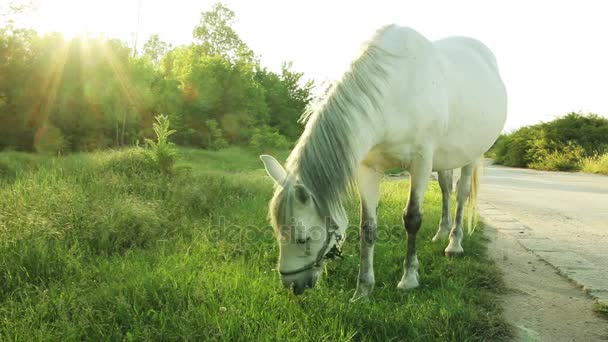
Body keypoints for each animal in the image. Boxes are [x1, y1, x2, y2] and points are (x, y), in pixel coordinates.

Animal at [258, 24, 506, 300]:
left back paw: (454, 243)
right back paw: (442, 233)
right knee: (445, 189)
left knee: (461, 194)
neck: (395, 93)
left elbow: (412, 218)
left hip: (471, 156)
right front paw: (363, 290)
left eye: (302, 238)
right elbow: (368, 227)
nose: (293, 286)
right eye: (276, 231)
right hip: (445, 159)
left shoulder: (421, 163)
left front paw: (409, 278)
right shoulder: (368, 169)